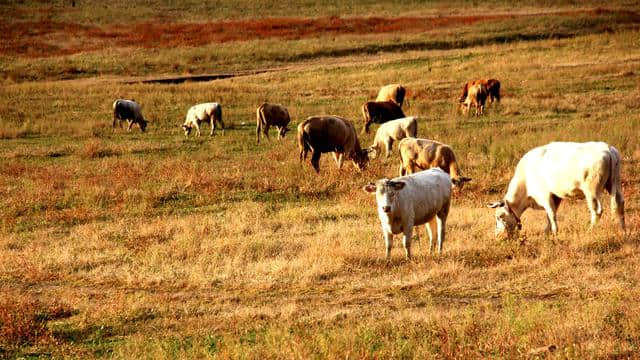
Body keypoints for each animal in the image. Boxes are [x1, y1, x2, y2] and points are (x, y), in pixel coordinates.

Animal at [490, 142, 624, 238]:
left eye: (500, 216)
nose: (498, 236)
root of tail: (607, 148)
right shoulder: (556, 196)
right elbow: (550, 216)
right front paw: (547, 232)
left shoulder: (545, 195)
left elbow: (551, 214)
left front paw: (554, 233)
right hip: (614, 184)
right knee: (619, 204)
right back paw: (623, 230)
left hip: (592, 191)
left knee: (597, 211)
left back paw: (589, 231)